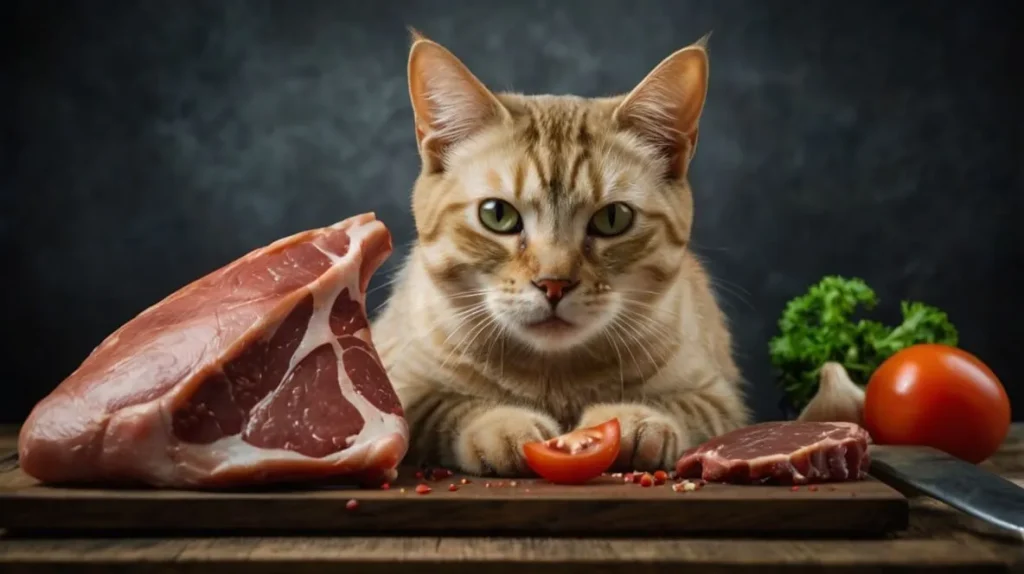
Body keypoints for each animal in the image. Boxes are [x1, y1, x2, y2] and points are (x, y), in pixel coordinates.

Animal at [372, 31, 749, 474]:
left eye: (612, 219)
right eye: (497, 214)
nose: (554, 284)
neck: (555, 377)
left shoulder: (719, 397)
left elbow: (683, 408)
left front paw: (637, 421)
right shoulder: (401, 385)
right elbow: (448, 407)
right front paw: (503, 425)